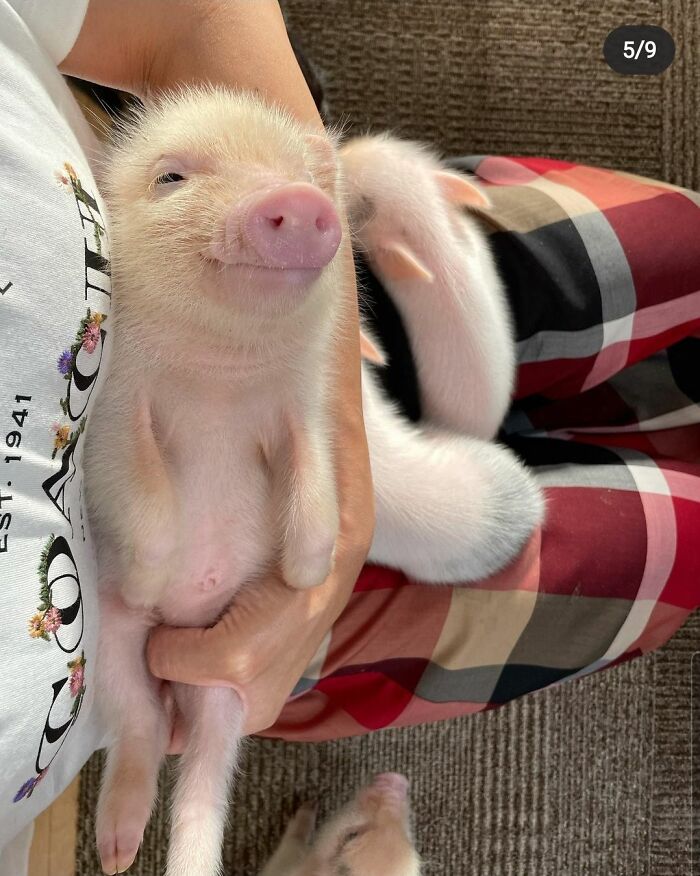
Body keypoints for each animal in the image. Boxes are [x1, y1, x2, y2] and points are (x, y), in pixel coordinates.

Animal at [260, 774, 421, 876]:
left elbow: (292, 841)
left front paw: (309, 805)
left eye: (352, 836)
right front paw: (311, 802)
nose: (400, 778)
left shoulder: (281, 862)